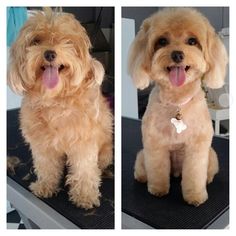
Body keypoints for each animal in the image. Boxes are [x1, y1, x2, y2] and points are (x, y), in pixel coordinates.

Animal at [7, 8, 113, 209]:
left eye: (67, 41)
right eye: (36, 41)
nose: (49, 54)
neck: (55, 100)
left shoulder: (84, 144)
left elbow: (84, 170)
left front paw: (84, 196)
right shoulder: (42, 144)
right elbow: (47, 166)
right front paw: (46, 185)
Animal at [128, 7, 228, 206]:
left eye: (192, 41)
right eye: (162, 41)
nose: (177, 54)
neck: (177, 102)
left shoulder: (197, 147)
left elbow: (195, 174)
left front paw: (195, 196)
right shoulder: (154, 144)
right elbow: (157, 169)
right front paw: (158, 189)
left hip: (211, 156)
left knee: (208, 171)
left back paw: (207, 179)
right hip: (142, 155)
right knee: (143, 169)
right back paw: (142, 177)